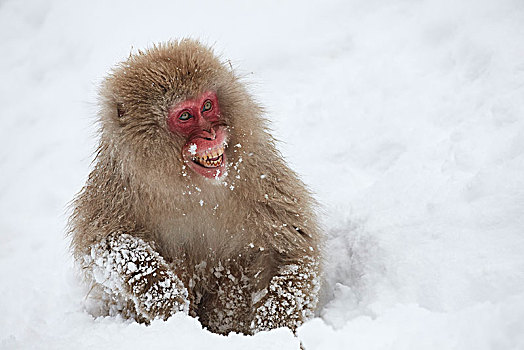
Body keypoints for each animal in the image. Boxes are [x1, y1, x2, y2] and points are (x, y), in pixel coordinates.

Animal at [69, 39, 322, 334]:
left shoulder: (258, 175)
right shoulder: (117, 186)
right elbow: (103, 245)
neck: (191, 187)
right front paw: (162, 293)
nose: (211, 134)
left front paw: (275, 326)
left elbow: (289, 249)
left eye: (208, 105)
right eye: (186, 116)